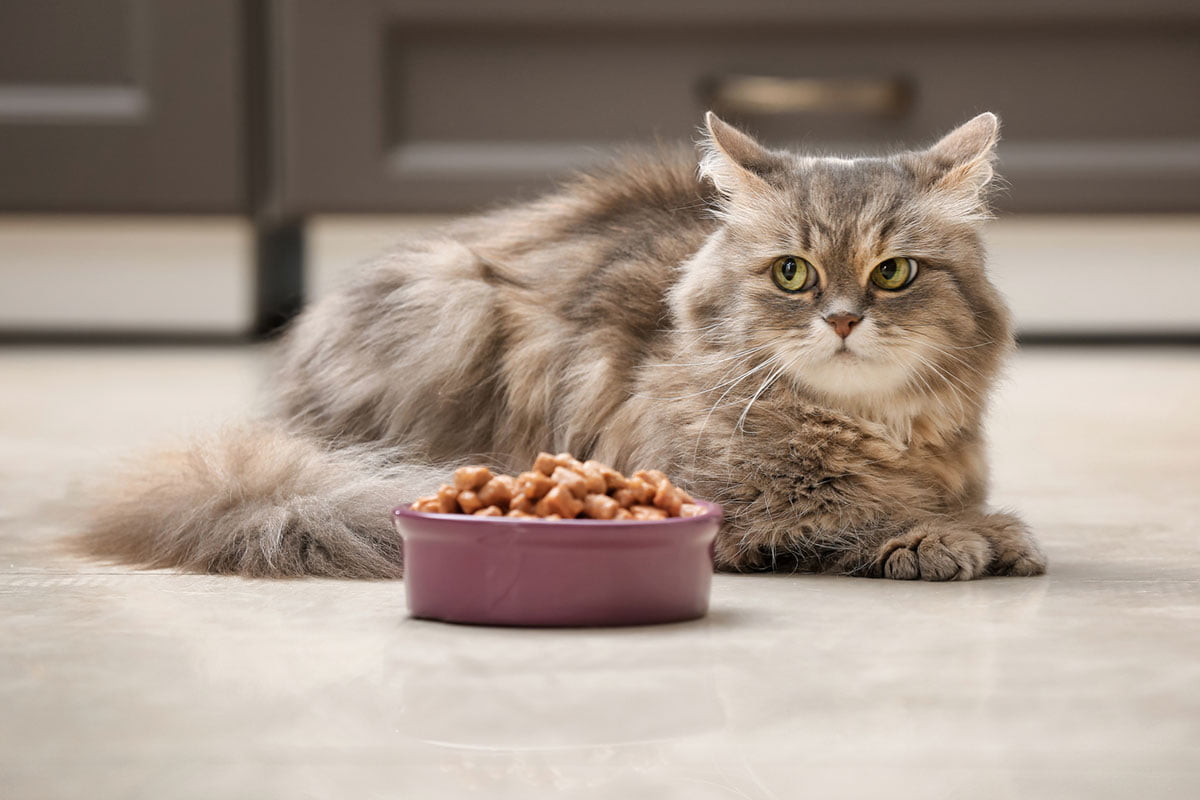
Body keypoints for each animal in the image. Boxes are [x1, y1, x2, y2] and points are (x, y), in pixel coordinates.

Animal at [79, 110, 1046, 582]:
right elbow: (852, 512)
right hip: (456, 305)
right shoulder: (734, 505)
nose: (844, 320)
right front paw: (961, 536)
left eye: (893, 273)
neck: (871, 428)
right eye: (792, 274)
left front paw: (975, 527)